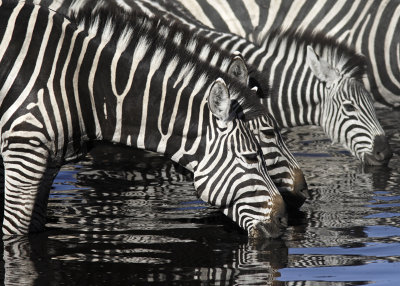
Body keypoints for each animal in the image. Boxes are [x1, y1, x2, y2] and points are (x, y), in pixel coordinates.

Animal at [0, 1, 290, 236]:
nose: (283, 221)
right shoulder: (23, 152)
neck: (84, 87)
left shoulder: (50, 161)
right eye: (251, 157)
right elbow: (15, 231)